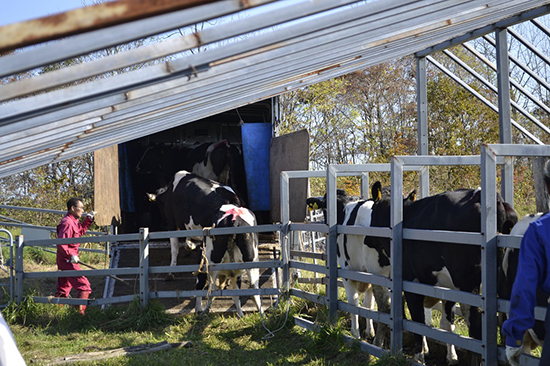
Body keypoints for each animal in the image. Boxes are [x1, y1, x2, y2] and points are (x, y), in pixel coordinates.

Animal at [149, 172, 264, 318]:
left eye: (158, 206)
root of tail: (233, 216)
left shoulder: (173, 224)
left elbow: (175, 249)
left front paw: (171, 272)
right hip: (251, 260)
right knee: (254, 290)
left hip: (212, 261)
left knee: (211, 288)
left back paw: (203, 311)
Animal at [368, 187, 520, 364]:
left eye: (373, 211)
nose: (367, 239)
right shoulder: (448, 289)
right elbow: (447, 325)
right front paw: (451, 357)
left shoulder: (411, 283)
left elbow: (418, 321)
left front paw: (419, 357)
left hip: (468, 285)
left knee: (476, 328)